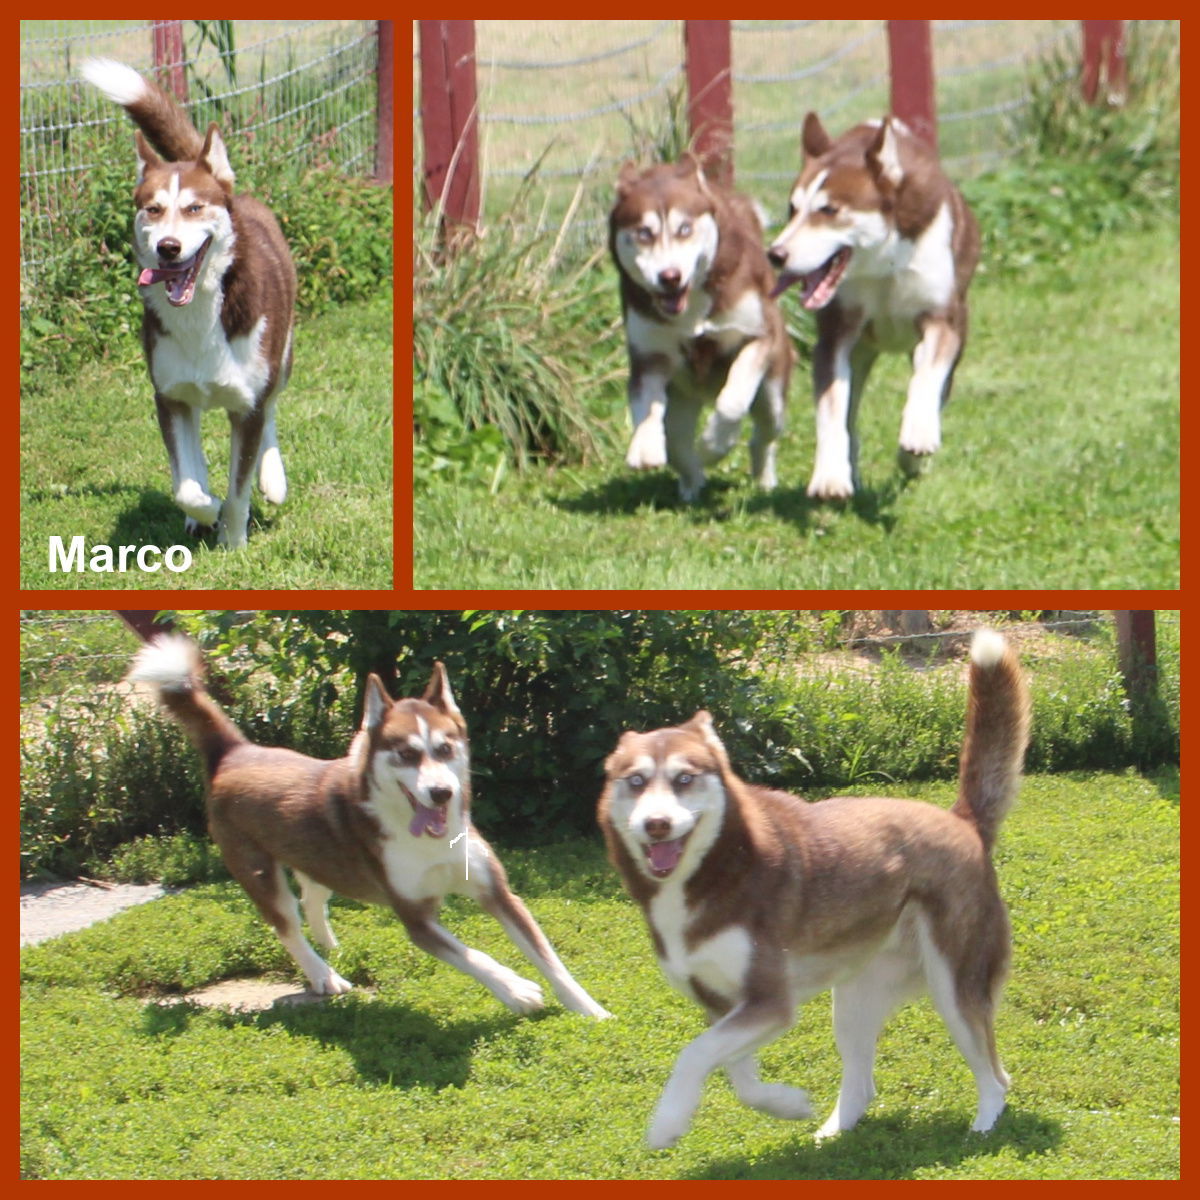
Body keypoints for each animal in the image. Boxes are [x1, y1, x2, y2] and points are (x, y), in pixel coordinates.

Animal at [82, 63, 295, 549]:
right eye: (153, 210)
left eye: (195, 208)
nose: (168, 247)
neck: (199, 315)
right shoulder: (170, 395)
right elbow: (186, 482)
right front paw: (205, 508)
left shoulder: (247, 405)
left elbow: (239, 487)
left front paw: (233, 541)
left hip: (282, 358)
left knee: (273, 411)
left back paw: (273, 479)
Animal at [131, 633, 609, 1017]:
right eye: (406, 754)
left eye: (445, 748)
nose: (441, 793)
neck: (427, 842)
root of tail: (233, 752)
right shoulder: (416, 917)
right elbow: (474, 956)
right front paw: (516, 991)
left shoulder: (498, 892)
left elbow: (550, 959)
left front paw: (590, 1009)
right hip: (258, 872)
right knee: (287, 925)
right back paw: (323, 973)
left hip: (321, 857)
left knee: (313, 894)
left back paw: (328, 942)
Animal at [600, 628, 1032, 1142]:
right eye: (636, 780)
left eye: (684, 778)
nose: (657, 824)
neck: (710, 874)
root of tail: (962, 822)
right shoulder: (723, 1005)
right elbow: (737, 1075)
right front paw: (785, 1104)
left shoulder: (770, 1001)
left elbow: (695, 1053)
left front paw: (668, 1121)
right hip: (853, 997)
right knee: (862, 1083)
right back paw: (834, 1130)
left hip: (954, 984)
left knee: (996, 1072)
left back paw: (984, 1123)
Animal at [609, 156, 796, 501]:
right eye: (643, 233)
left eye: (684, 229)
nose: (669, 276)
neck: (692, 306)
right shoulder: (649, 356)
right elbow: (646, 405)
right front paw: (644, 444)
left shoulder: (756, 336)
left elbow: (733, 400)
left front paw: (714, 445)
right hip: (682, 400)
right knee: (677, 444)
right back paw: (692, 480)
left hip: (772, 393)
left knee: (764, 435)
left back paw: (763, 476)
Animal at [772, 114, 979, 499]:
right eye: (792, 209)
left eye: (829, 209)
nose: (775, 254)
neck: (883, 264)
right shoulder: (836, 332)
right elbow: (832, 408)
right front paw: (830, 475)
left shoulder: (941, 319)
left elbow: (926, 378)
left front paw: (917, 438)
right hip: (860, 352)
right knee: (849, 410)